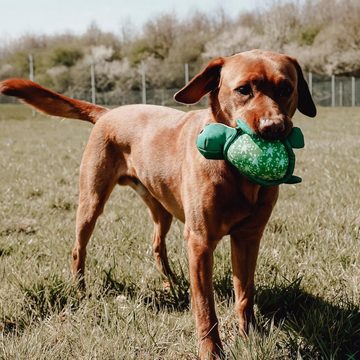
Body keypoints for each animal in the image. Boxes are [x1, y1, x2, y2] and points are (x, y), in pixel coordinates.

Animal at [0, 50, 316, 358]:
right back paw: (81, 290)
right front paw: (211, 351)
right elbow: (205, 306)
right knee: (79, 248)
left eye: (287, 89)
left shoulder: (248, 237)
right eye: (243, 90)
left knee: (156, 245)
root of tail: (109, 112)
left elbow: (245, 295)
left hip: (162, 207)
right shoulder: (200, 241)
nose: (274, 128)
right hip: (92, 200)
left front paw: (249, 338)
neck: (237, 173)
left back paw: (172, 282)